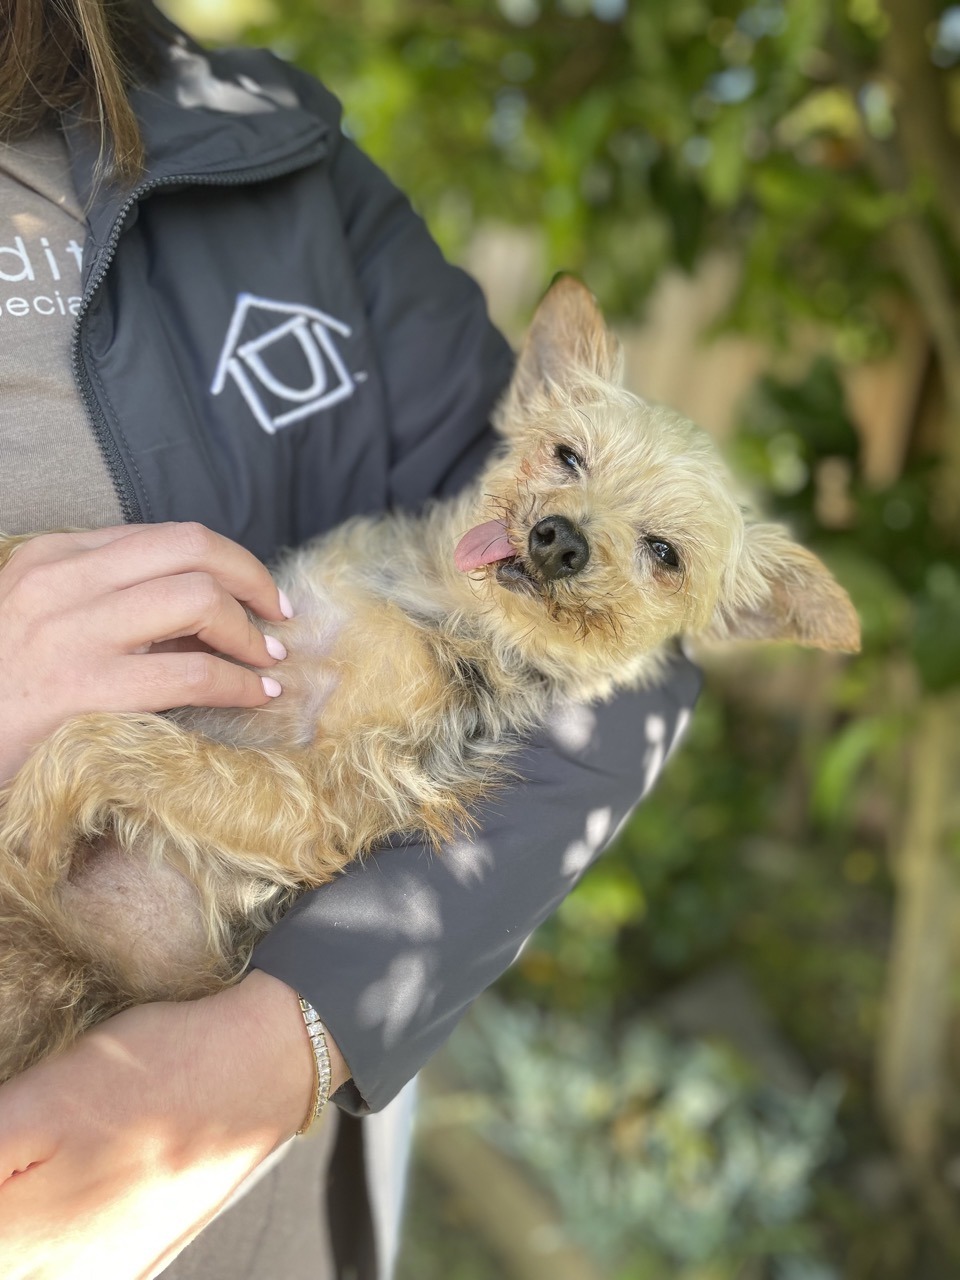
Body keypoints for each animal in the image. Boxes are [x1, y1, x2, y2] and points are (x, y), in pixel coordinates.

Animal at [0, 277, 865, 1080]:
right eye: (568, 455)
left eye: (665, 554)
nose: (559, 539)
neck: (441, 606)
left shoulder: (315, 799)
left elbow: (120, 746)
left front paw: (26, 828)